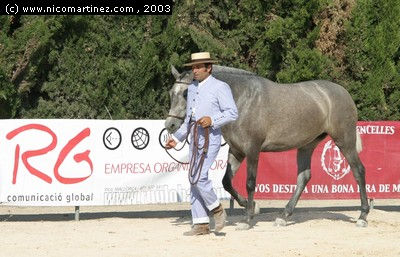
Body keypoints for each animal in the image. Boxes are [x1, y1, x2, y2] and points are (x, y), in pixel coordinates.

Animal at [165, 64, 368, 228]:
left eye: (186, 93)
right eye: (171, 92)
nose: (170, 125)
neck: (241, 99)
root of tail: (342, 92)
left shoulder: (253, 150)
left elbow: (250, 182)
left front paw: (248, 218)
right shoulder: (237, 151)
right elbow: (226, 182)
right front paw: (252, 207)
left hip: (344, 140)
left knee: (358, 171)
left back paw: (363, 216)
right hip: (307, 145)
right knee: (303, 177)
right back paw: (284, 216)